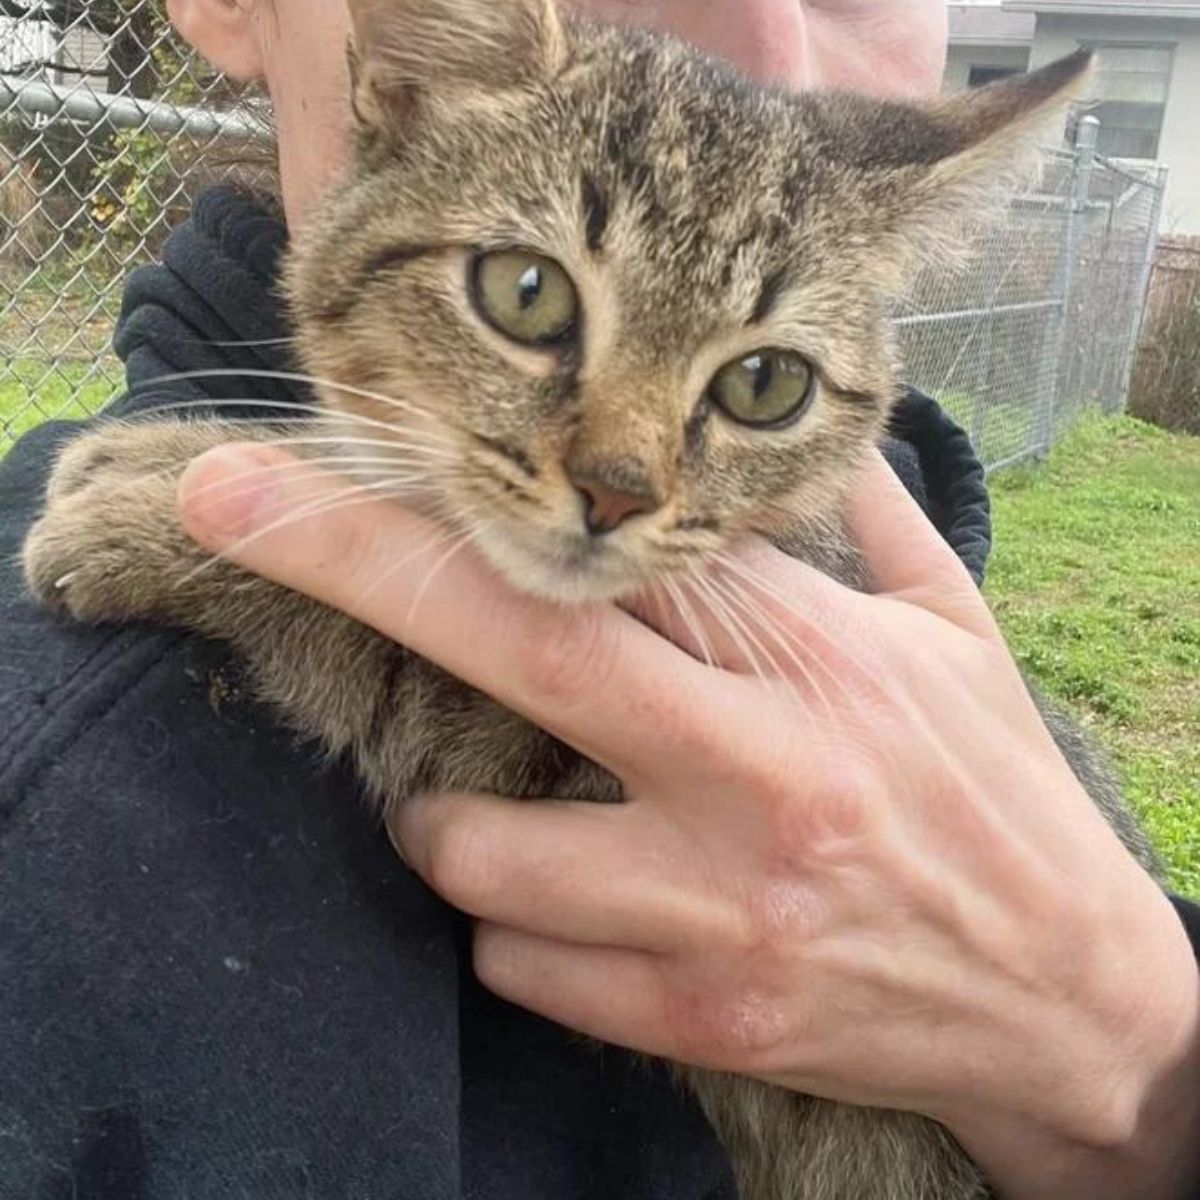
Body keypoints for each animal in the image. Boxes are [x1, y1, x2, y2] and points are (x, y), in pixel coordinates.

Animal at [21, 4, 1152, 1195]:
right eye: (527, 292)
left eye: (766, 384)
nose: (618, 488)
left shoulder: (550, 756)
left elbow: (379, 618)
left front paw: (164, 504)